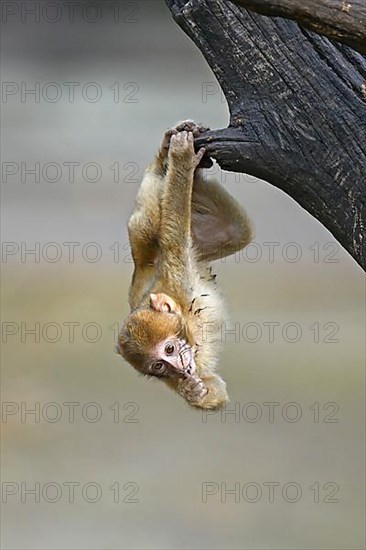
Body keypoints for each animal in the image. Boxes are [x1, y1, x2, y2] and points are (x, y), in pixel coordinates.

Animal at [117, 123, 252, 412]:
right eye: (159, 366)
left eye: (169, 349)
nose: (179, 367)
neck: (188, 321)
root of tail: (145, 265)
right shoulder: (178, 375)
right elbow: (214, 388)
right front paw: (193, 391)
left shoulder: (178, 276)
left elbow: (174, 233)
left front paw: (181, 160)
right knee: (231, 230)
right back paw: (169, 158)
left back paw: (174, 161)